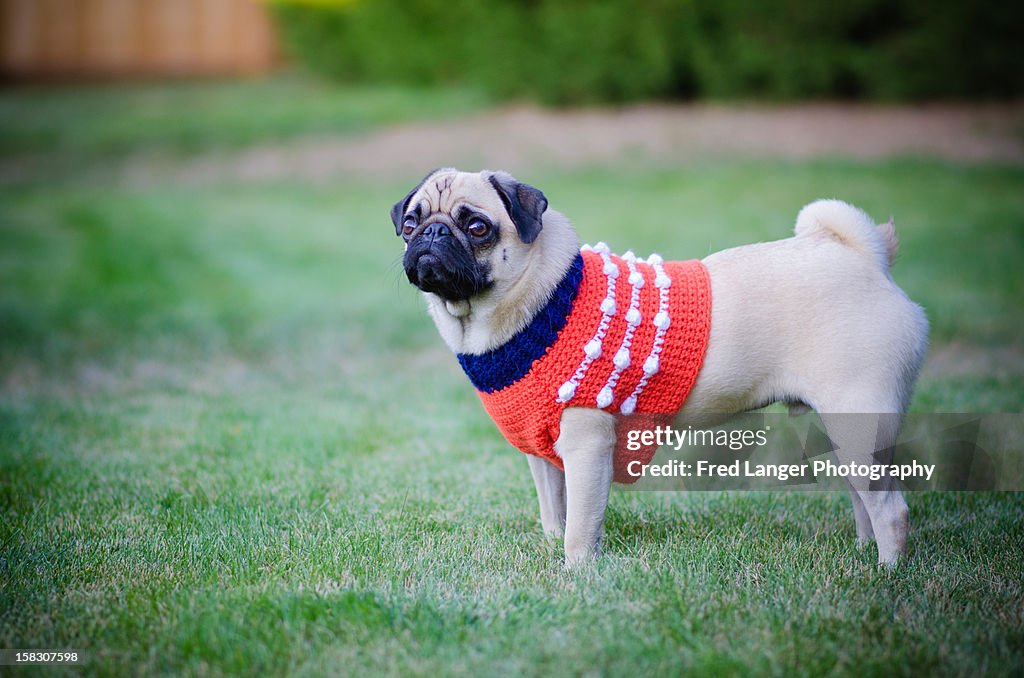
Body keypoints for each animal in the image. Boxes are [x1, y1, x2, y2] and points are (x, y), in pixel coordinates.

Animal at [389, 168, 929, 569]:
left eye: (477, 227)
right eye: (411, 224)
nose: (432, 234)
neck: (540, 302)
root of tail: (865, 257)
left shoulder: (587, 445)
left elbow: (580, 525)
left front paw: (575, 573)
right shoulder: (542, 455)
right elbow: (553, 514)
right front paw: (550, 549)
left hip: (857, 420)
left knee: (891, 508)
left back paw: (886, 574)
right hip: (843, 431)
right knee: (863, 500)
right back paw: (861, 553)